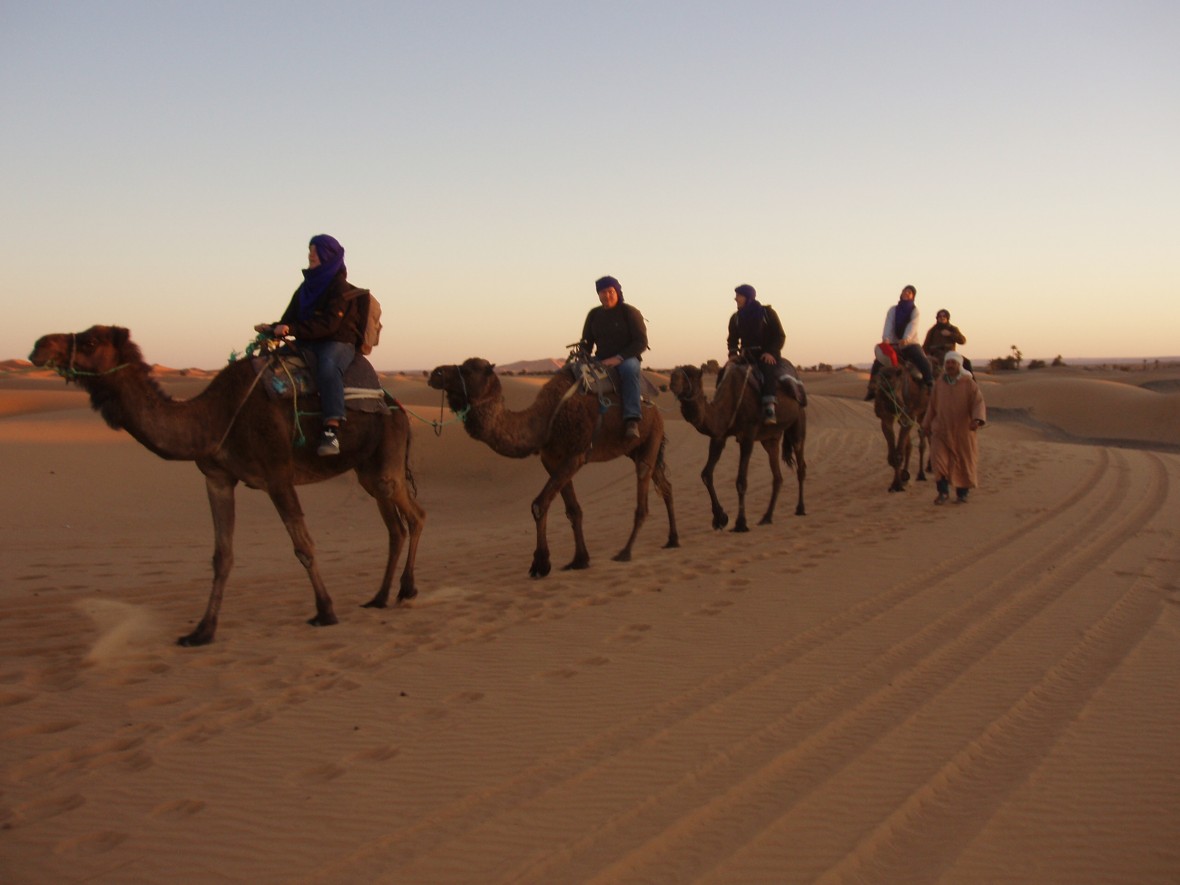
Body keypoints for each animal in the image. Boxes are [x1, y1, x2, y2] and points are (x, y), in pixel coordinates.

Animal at [27, 325, 427, 646]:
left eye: (91, 340)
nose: (39, 345)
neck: (215, 416)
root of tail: (397, 406)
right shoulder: (217, 478)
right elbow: (222, 556)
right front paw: (201, 631)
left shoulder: (277, 475)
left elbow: (304, 545)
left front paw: (325, 611)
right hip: (367, 471)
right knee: (395, 526)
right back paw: (379, 597)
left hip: (387, 461)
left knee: (416, 516)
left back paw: (407, 590)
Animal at [429, 356, 679, 578]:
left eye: (468, 369)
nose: (435, 373)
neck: (545, 418)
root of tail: (655, 407)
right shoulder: (551, 459)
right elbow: (573, 510)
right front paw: (579, 560)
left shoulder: (575, 455)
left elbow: (539, 505)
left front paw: (540, 564)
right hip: (637, 450)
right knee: (665, 484)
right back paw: (672, 539)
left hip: (651, 436)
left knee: (643, 491)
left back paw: (625, 552)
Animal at [670, 361, 807, 531]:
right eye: (675, 372)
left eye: (691, 376)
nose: (672, 380)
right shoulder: (720, 435)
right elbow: (706, 474)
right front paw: (720, 518)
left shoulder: (748, 435)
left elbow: (741, 481)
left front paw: (740, 523)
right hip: (770, 439)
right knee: (777, 476)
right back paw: (766, 517)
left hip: (798, 421)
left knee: (800, 465)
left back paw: (800, 508)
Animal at [873, 363, 925, 495]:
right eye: (877, 379)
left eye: (890, 379)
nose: (880, 399)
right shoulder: (886, 418)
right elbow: (893, 455)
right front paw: (896, 484)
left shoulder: (909, 416)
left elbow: (898, 454)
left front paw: (897, 485)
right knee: (910, 445)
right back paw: (906, 475)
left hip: (924, 413)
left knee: (925, 441)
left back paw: (922, 474)